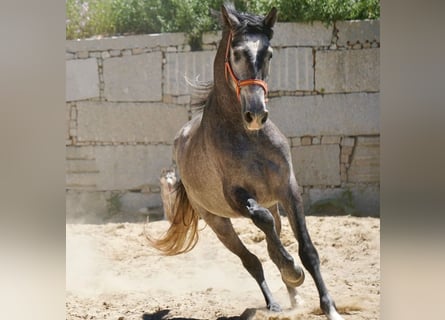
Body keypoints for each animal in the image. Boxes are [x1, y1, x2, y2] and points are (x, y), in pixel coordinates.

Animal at [147, 3, 342, 320]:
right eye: (236, 53)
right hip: (217, 221)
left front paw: (330, 308)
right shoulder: (236, 196)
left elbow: (307, 250)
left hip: (272, 205)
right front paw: (293, 271)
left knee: (271, 246)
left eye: (269, 54)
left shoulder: (288, 189)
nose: (256, 114)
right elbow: (262, 223)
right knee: (251, 259)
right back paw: (274, 302)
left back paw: (293, 296)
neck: (247, 138)